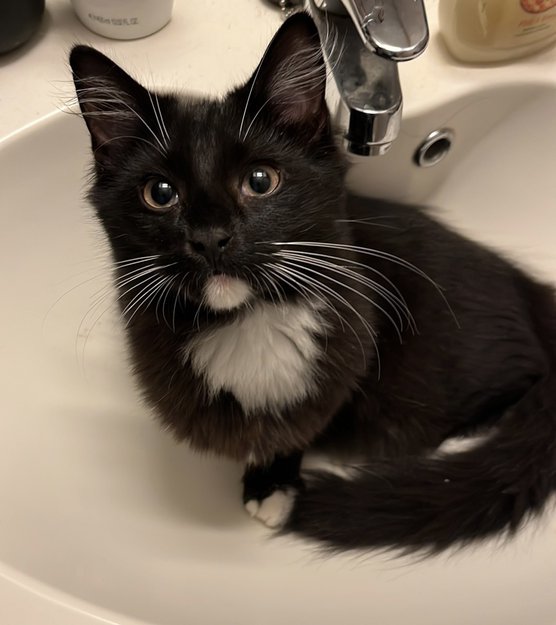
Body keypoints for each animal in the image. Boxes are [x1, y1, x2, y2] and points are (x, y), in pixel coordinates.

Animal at [70, 12, 556, 554]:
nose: (210, 238)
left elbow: (301, 425)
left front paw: (274, 485)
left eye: (261, 181)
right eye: (160, 193)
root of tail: (530, 291)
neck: (248, 321)